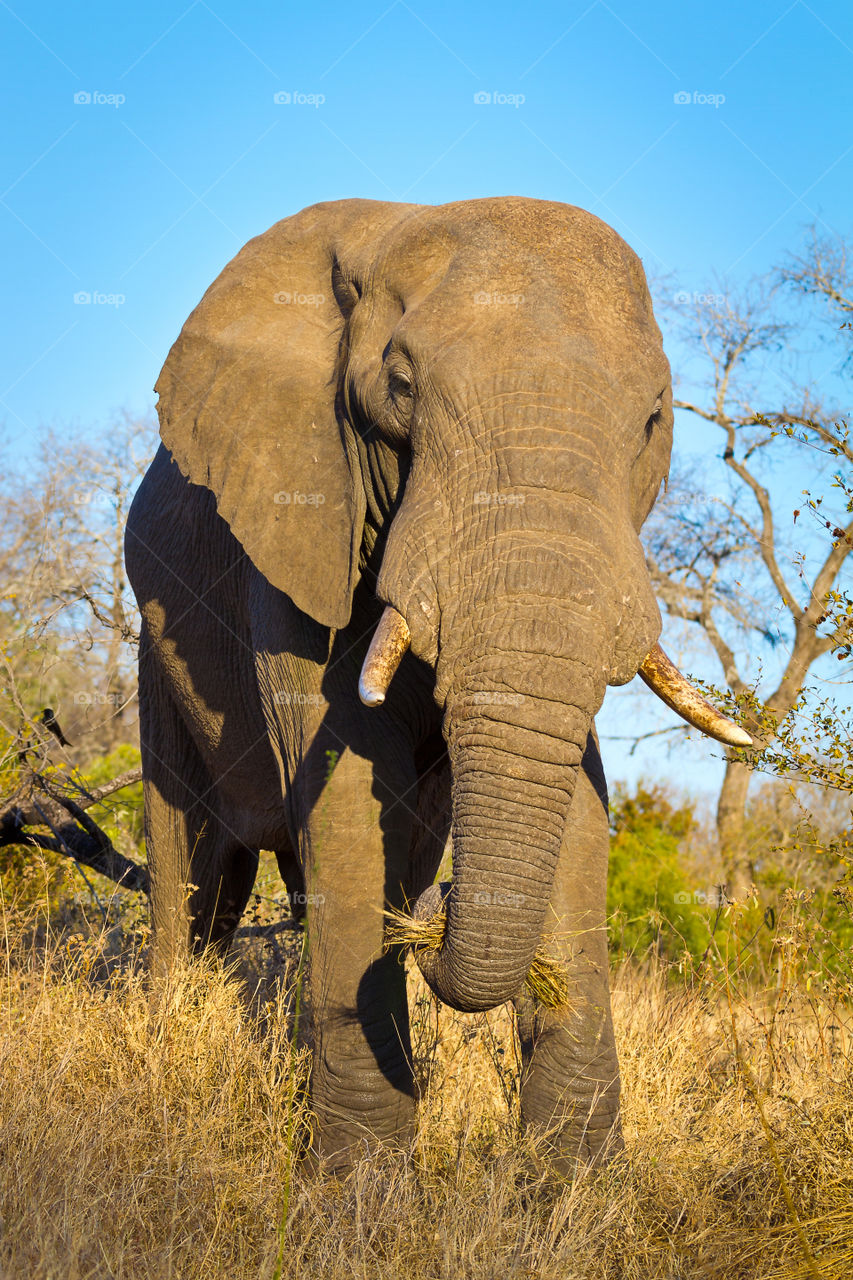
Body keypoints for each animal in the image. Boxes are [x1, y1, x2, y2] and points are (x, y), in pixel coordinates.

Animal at [125, 197, 749, 1172]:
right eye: (402, 388)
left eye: (652, 416)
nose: (441, 906)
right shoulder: (295, 528)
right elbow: (342, 791)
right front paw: (358, 1196)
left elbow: (578, 803)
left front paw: (574, 1187)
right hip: (158, 654)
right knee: (191, 881)